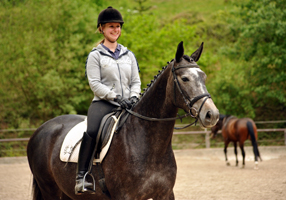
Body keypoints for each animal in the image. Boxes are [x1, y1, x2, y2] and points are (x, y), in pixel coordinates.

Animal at [26, 41, 219, 200]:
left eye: (203, 77)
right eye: (185, 78)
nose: (212, 114)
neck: (148, 145)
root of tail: (41, 129)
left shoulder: (165, 194)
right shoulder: (125, 196)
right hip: (50, 189)